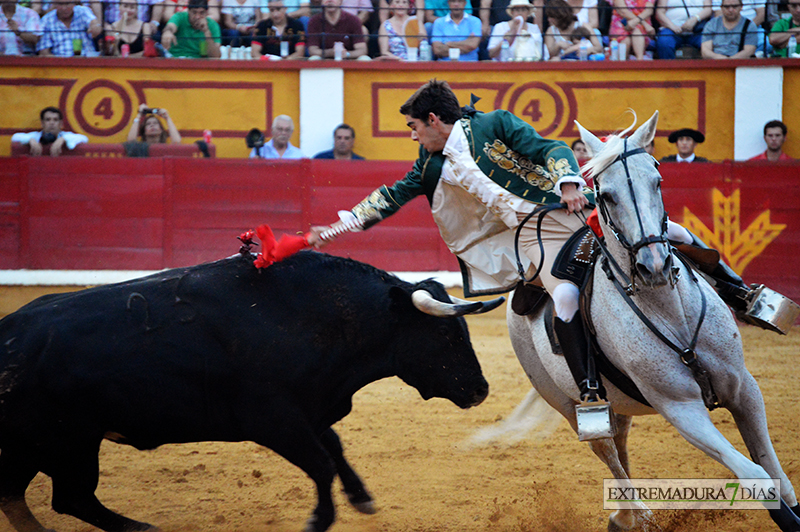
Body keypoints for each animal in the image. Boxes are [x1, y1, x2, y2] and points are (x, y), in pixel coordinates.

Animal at [0, 250, 500, 532]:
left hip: (35, 446)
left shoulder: (309, 411)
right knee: (72, 497)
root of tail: (9, 339)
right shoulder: (274, 419)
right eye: (446, 334)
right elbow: (321, 462)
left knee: (22, 496)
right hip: (69, 444)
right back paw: (142, 528)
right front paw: (319, 519)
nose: (480, 389)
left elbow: (334, 449)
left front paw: (361, 498)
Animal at [504, 112, 796, 532]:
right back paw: (633, 514)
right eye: (606, 194)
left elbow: (778, 476)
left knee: (621, 441)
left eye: (658, 181)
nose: (654, 266)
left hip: (620, 402)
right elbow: (757, 476)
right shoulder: (680, 407)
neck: (672, 313)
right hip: (566, 402)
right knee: (605, 447)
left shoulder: (744, 388)